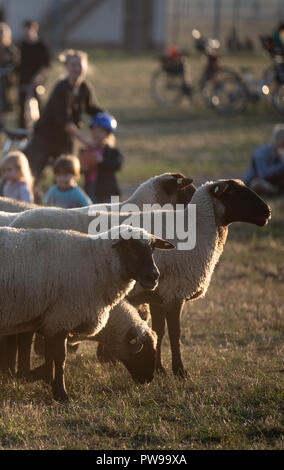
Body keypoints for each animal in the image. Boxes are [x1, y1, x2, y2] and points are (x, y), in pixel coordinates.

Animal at [0, 225, 174, 400]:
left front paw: (47, 379)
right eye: (131, 247)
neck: (97, 261)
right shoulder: (62, 317)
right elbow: (60, 358)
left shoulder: (50, 321)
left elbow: (49, 356)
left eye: (152, 247)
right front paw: (61, 394)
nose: (153, 276)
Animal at [125, 180, 270, 378]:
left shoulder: (157, 296)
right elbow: (175, 334)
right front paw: (180, 372)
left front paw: (160, 369)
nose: (268, 212)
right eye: (234, 192)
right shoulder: (174, 292)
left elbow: (158, 333)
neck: (196, 226)